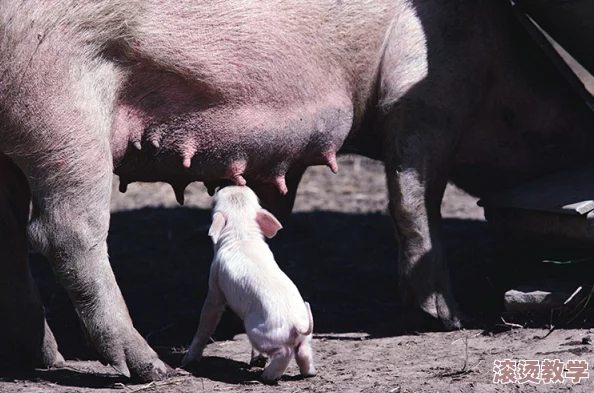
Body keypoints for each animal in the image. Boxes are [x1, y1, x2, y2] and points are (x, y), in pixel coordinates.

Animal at [182, 185, 314, 382]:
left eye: (214, 203)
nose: (235, 184)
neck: (241, 234)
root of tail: (296, 325)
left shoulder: (215, 280)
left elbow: (208, 316)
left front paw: (187, 361)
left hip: (259, 332)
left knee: (285, 352)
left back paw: (266, 377)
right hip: (304, 336)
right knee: (303, 350)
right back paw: (309, 373)